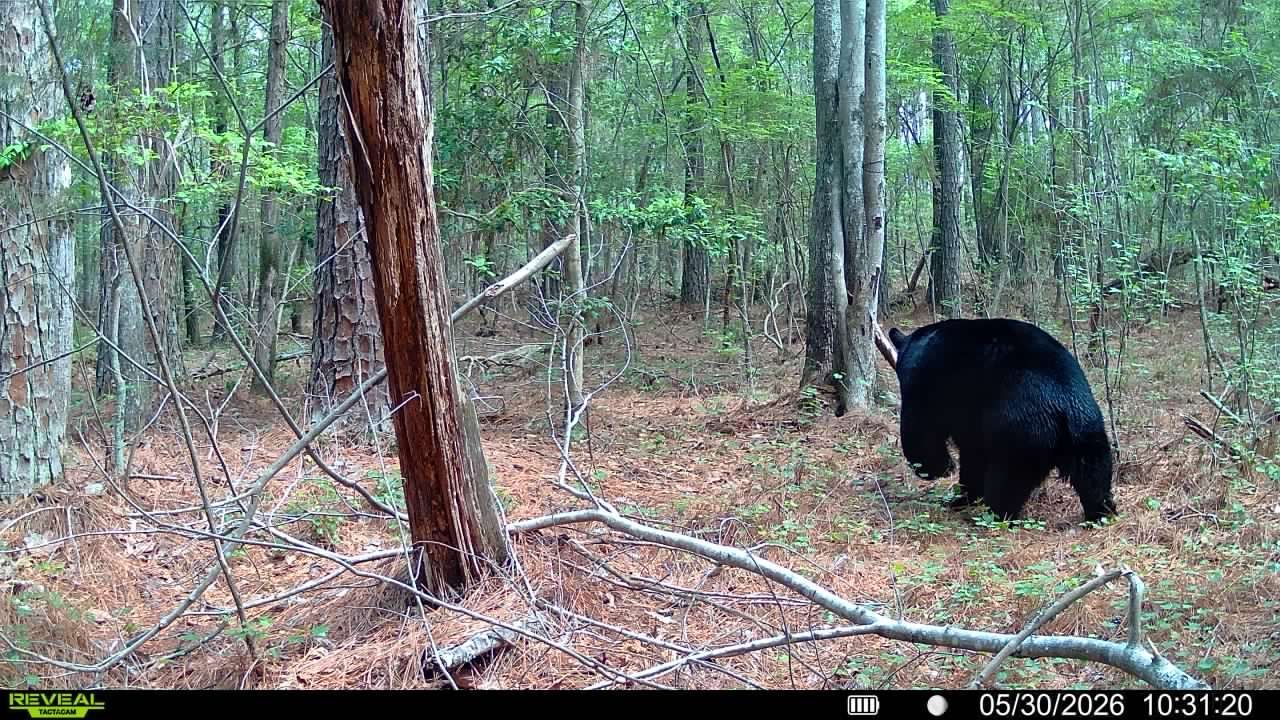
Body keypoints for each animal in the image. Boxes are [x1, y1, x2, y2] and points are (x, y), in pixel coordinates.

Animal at [886, 318, 1117, 524]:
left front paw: (939, 471)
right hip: (1087, 429)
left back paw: (994, 514)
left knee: (1007, 481)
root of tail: (1063, 402)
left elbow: (921, 430)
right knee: (1094, 473)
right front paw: (964, 494)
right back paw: (1101, 512)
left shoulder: (928, 383)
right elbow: (972, 454)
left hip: (1020, 430)